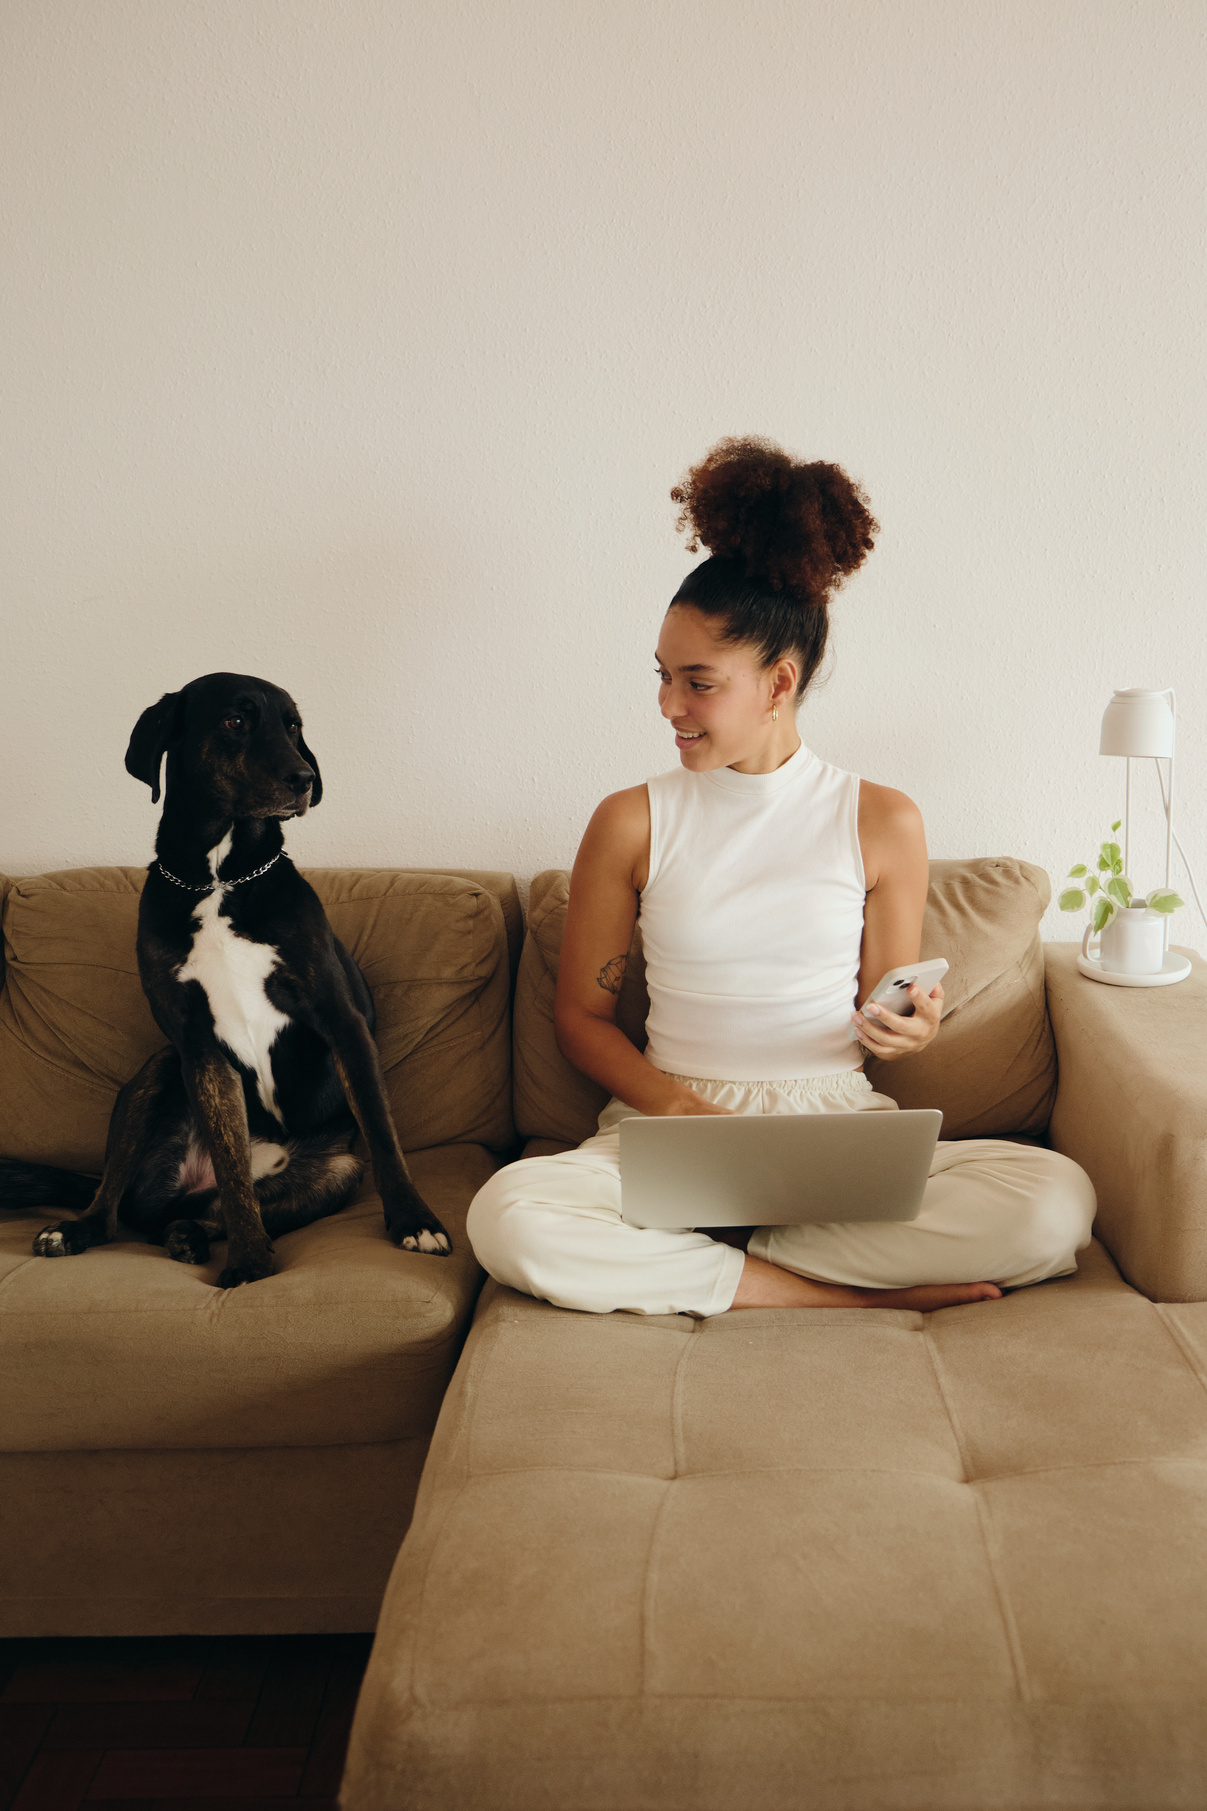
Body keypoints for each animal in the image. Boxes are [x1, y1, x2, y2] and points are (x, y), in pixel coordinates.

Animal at [12, 673, 445, 1282]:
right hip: (156, 1074)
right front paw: (250, 1264)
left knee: (195, 1213)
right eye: (235, 721)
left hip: (334, 1173)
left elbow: (383, 1136)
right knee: (121, 1201)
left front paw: (414, 1222)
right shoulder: (198, 1047)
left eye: (293, 725)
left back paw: (186, 1235)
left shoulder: (341, 1021)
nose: (304, 780)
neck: (219, 878)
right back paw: (83, 1229)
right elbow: (232, 1167)